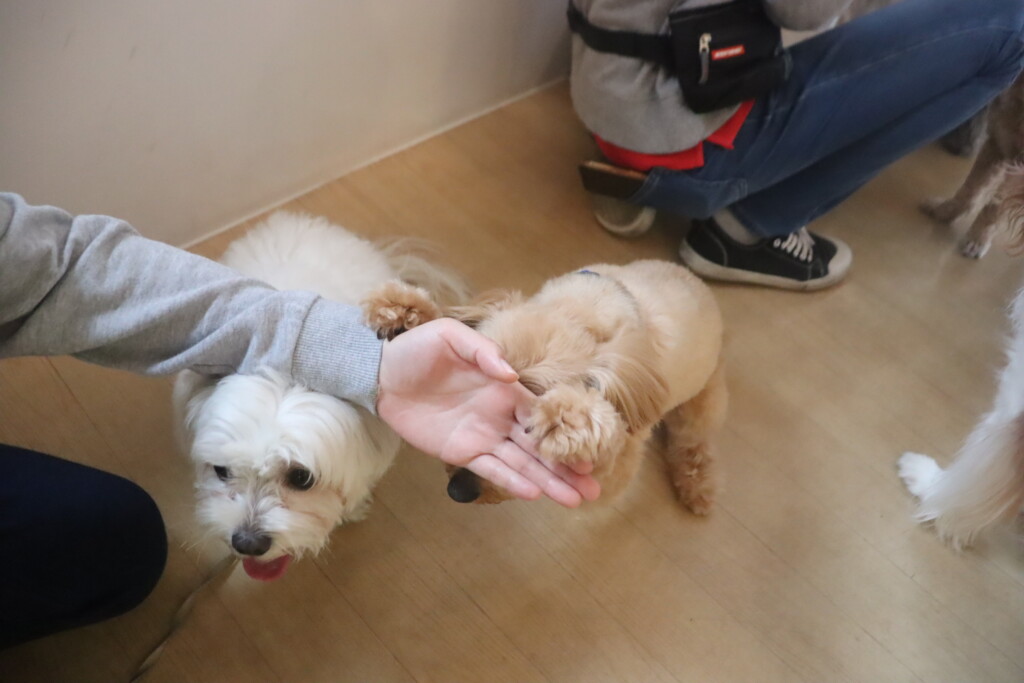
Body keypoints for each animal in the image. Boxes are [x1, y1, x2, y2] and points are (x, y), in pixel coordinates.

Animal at [364, 260, 727, 514]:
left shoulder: (614, 476)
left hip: (701, 407)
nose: (459, 491)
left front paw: (568, 419)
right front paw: (403, 311)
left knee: (693, 448)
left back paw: (697, 491)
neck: (582, 308)